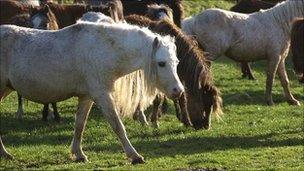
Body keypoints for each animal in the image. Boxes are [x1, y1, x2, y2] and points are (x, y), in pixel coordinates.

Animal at [0, 22, 184, 164]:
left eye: (176, 62)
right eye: (161, 63)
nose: (179, 91)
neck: (102, 50)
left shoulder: (86, 97)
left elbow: (79, 125)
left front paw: (79, 154)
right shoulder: (102, 95)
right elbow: (117, 125)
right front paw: (134, 156)